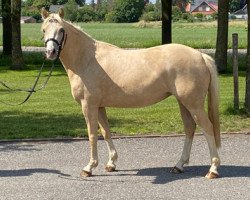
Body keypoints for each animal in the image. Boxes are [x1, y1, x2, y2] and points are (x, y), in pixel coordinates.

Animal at [41, 8, 221, 179]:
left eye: (61, 29)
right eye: (43, 29)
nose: (50, 52)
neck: (87, 60)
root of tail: (201, 56)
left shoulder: (88, 105)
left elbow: (92, 135)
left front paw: (89, 167)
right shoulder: (99, 106)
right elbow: (106, 132)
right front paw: (111, 163)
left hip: (193, 105)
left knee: (207, 128)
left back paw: (213, 169)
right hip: (183, 103)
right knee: (190, 128)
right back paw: (179, 165)